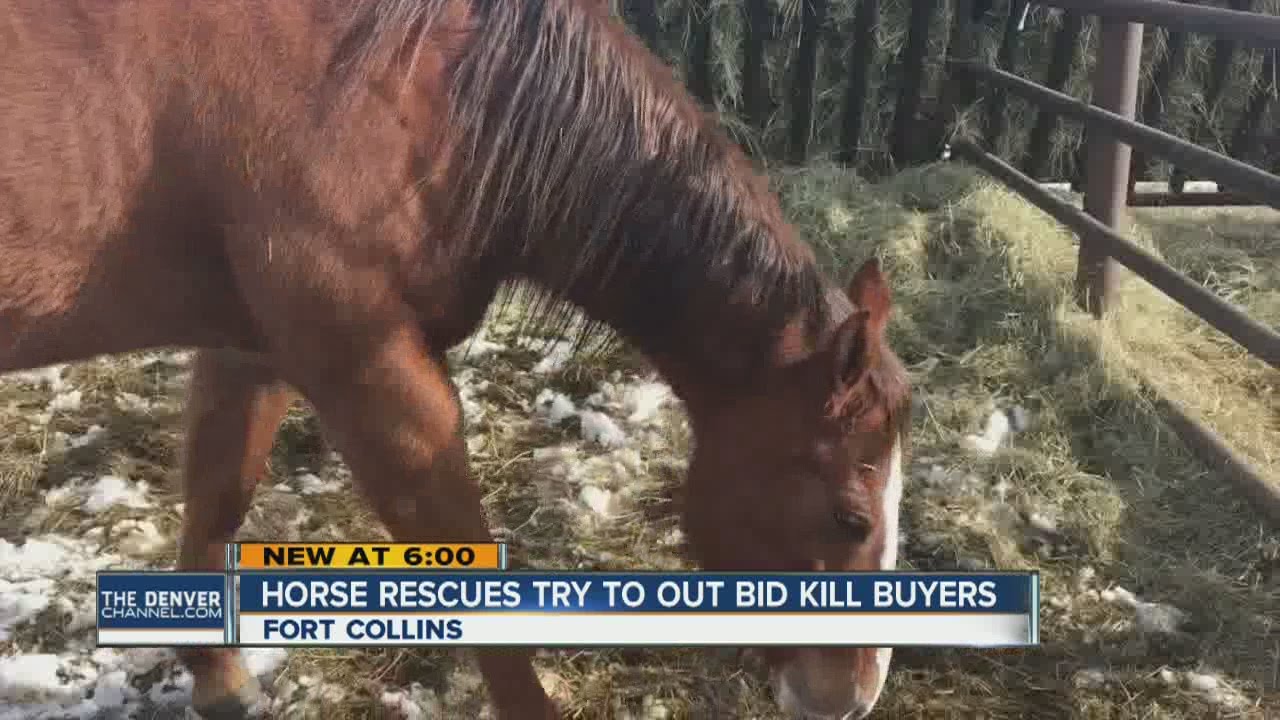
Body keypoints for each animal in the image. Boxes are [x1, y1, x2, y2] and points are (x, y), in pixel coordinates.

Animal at [0, 0, 911, 718]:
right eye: (850, 518)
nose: (852, 697)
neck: (413, 91)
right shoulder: (375, 382)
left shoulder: (247, 347)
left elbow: (222, 493)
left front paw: (218, 679)